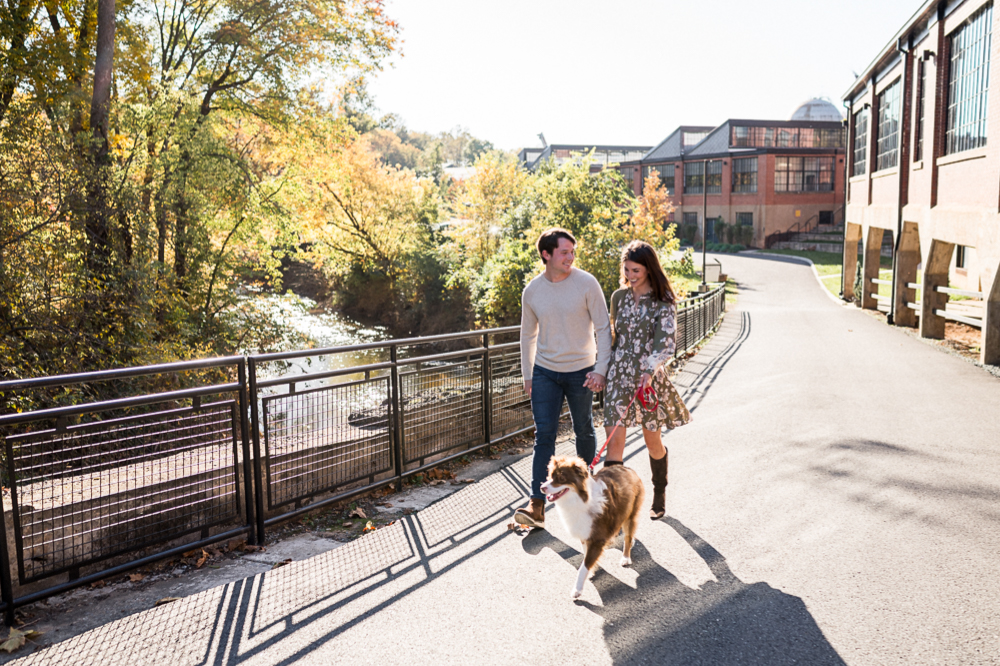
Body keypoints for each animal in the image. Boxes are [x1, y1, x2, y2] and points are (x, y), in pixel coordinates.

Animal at [544, 454, 644, 600]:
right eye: (550, 475)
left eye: (562, 478)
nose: (542, 487)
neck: (580, 500)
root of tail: (628, 469)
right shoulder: (584, 533)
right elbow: (586, 557)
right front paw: (591, 571)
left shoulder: (597, 539)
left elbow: (583, 566)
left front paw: (577, 589)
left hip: (630, 514)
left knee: (627, 537)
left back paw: (626, 557)